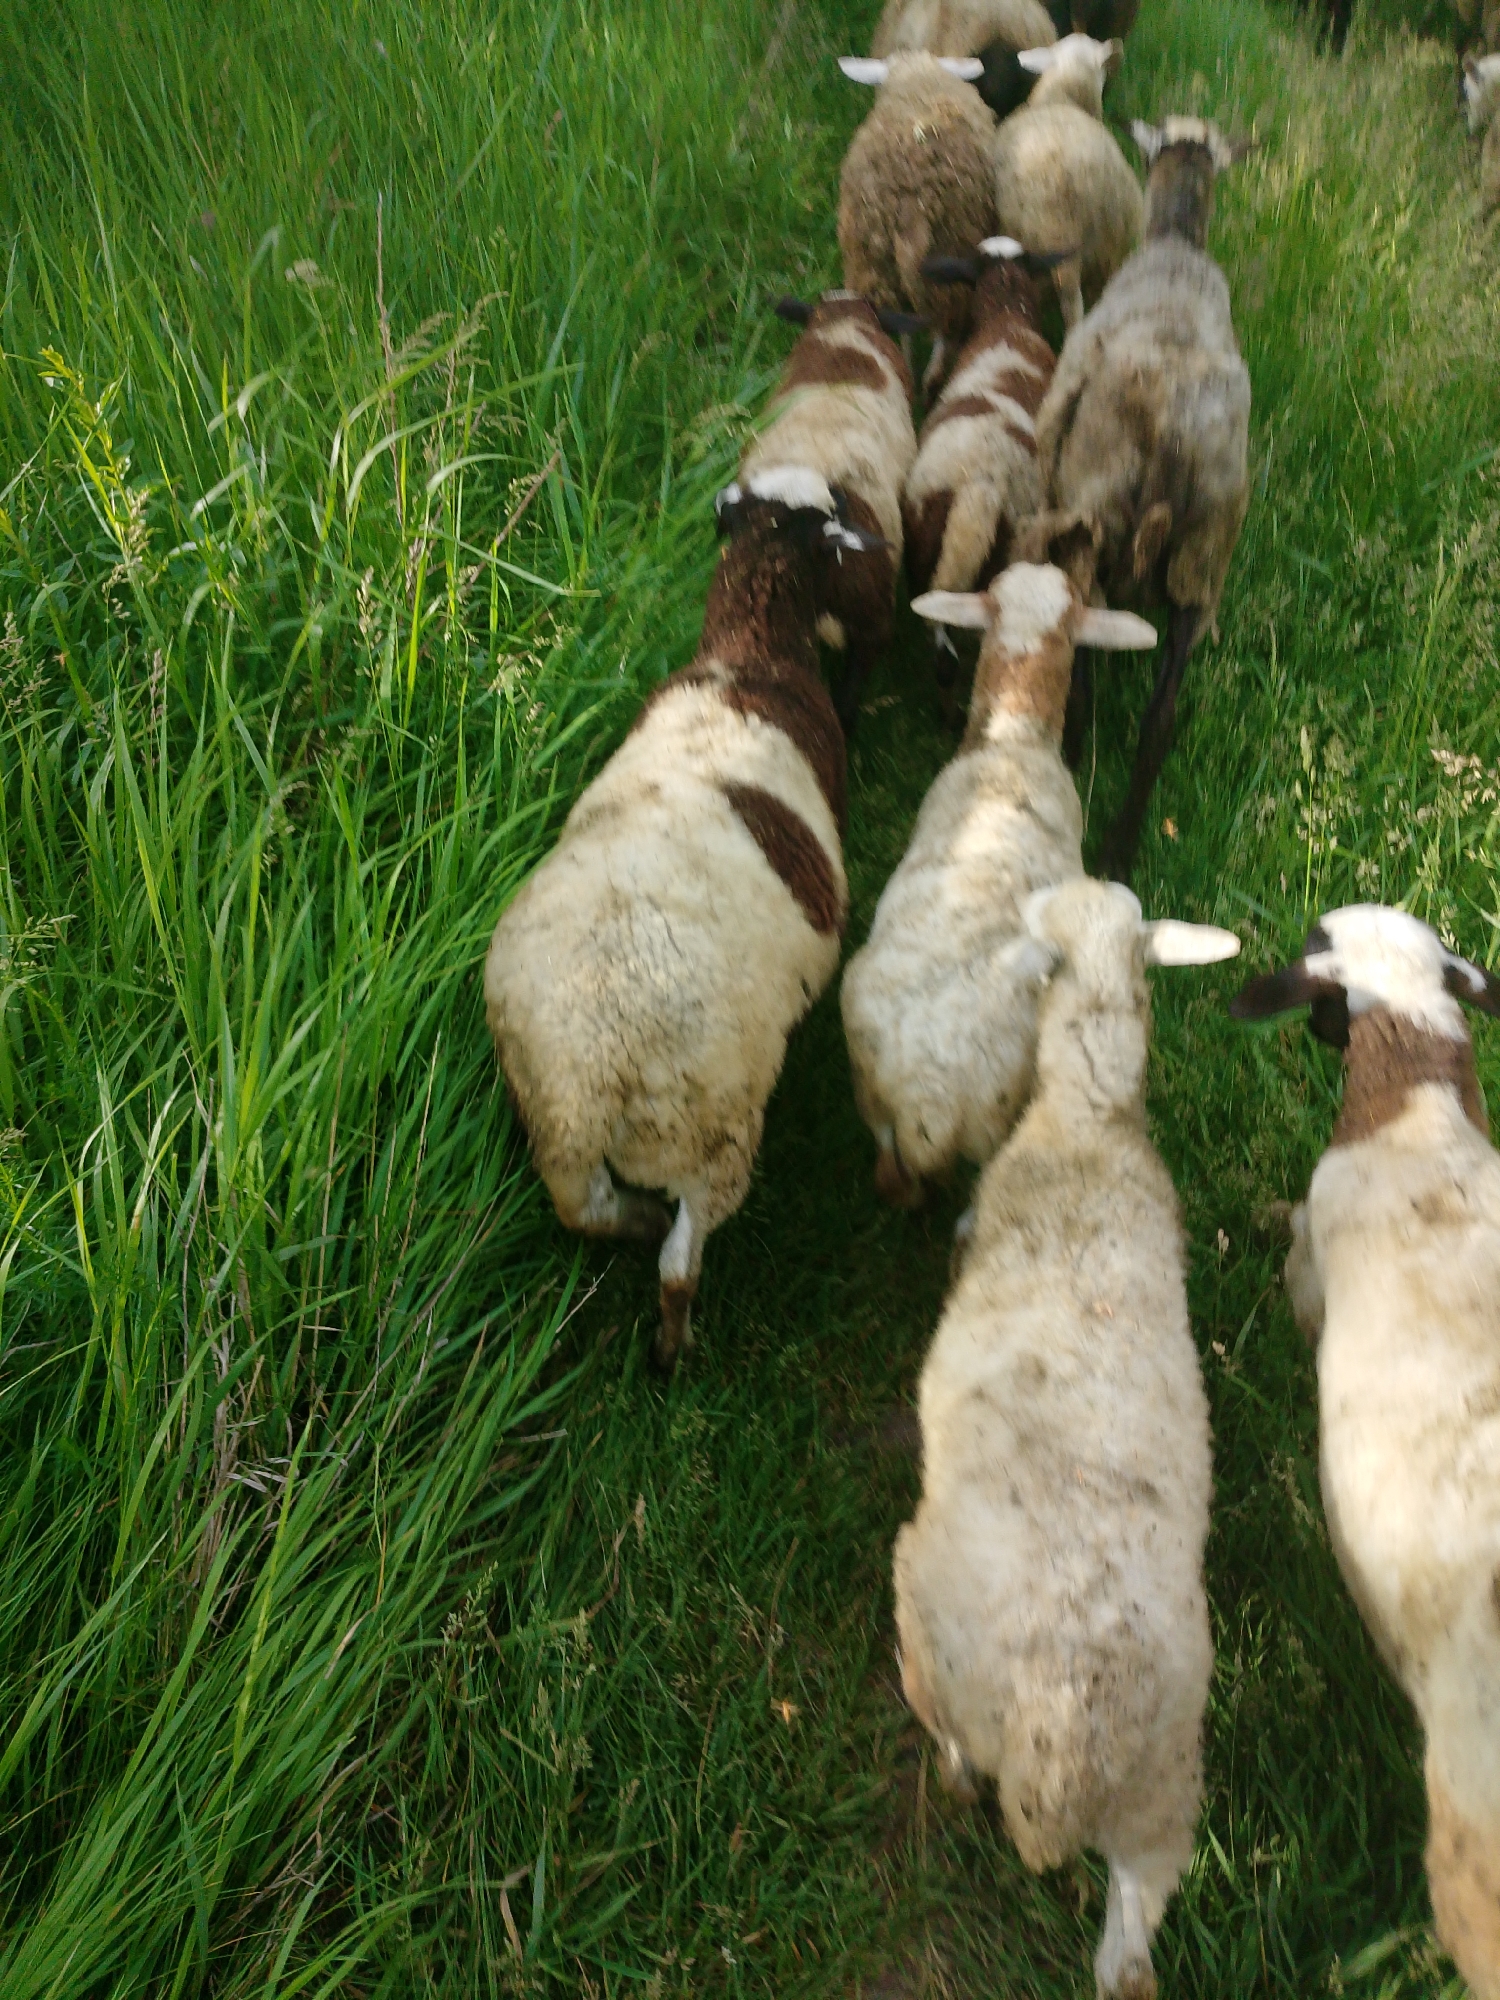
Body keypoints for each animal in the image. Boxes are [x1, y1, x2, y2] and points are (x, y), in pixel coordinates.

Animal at [484, 469, 882, 1371]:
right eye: (832, 520)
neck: (750, 653)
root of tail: (590, 1076)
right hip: (714, 1138)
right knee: (679, 1261)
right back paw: (671, 1344)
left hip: (551, 1125)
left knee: (590, 1213)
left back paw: (629, 1228)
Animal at [836, 53, 1000, 392]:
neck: (917, 78)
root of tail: (910, 205)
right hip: (950, 255)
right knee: (941, 346)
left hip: (874, 267)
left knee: (901, 336)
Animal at [894, 875, 1238, 1999]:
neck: (1090, 1116)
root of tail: (1063, 1739)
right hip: (1163, 1799)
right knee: (1129, 1961)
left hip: (931, 1634)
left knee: (952, 1739)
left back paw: (957, 1776)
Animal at [1031, 116, 1252, 881]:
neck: (1177, 243)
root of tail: (1173, 436)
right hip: (1203, 557)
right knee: (1161, 723)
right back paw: (1119, 853)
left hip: (1093, 520)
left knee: (1082, 667)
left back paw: (1071, 764)